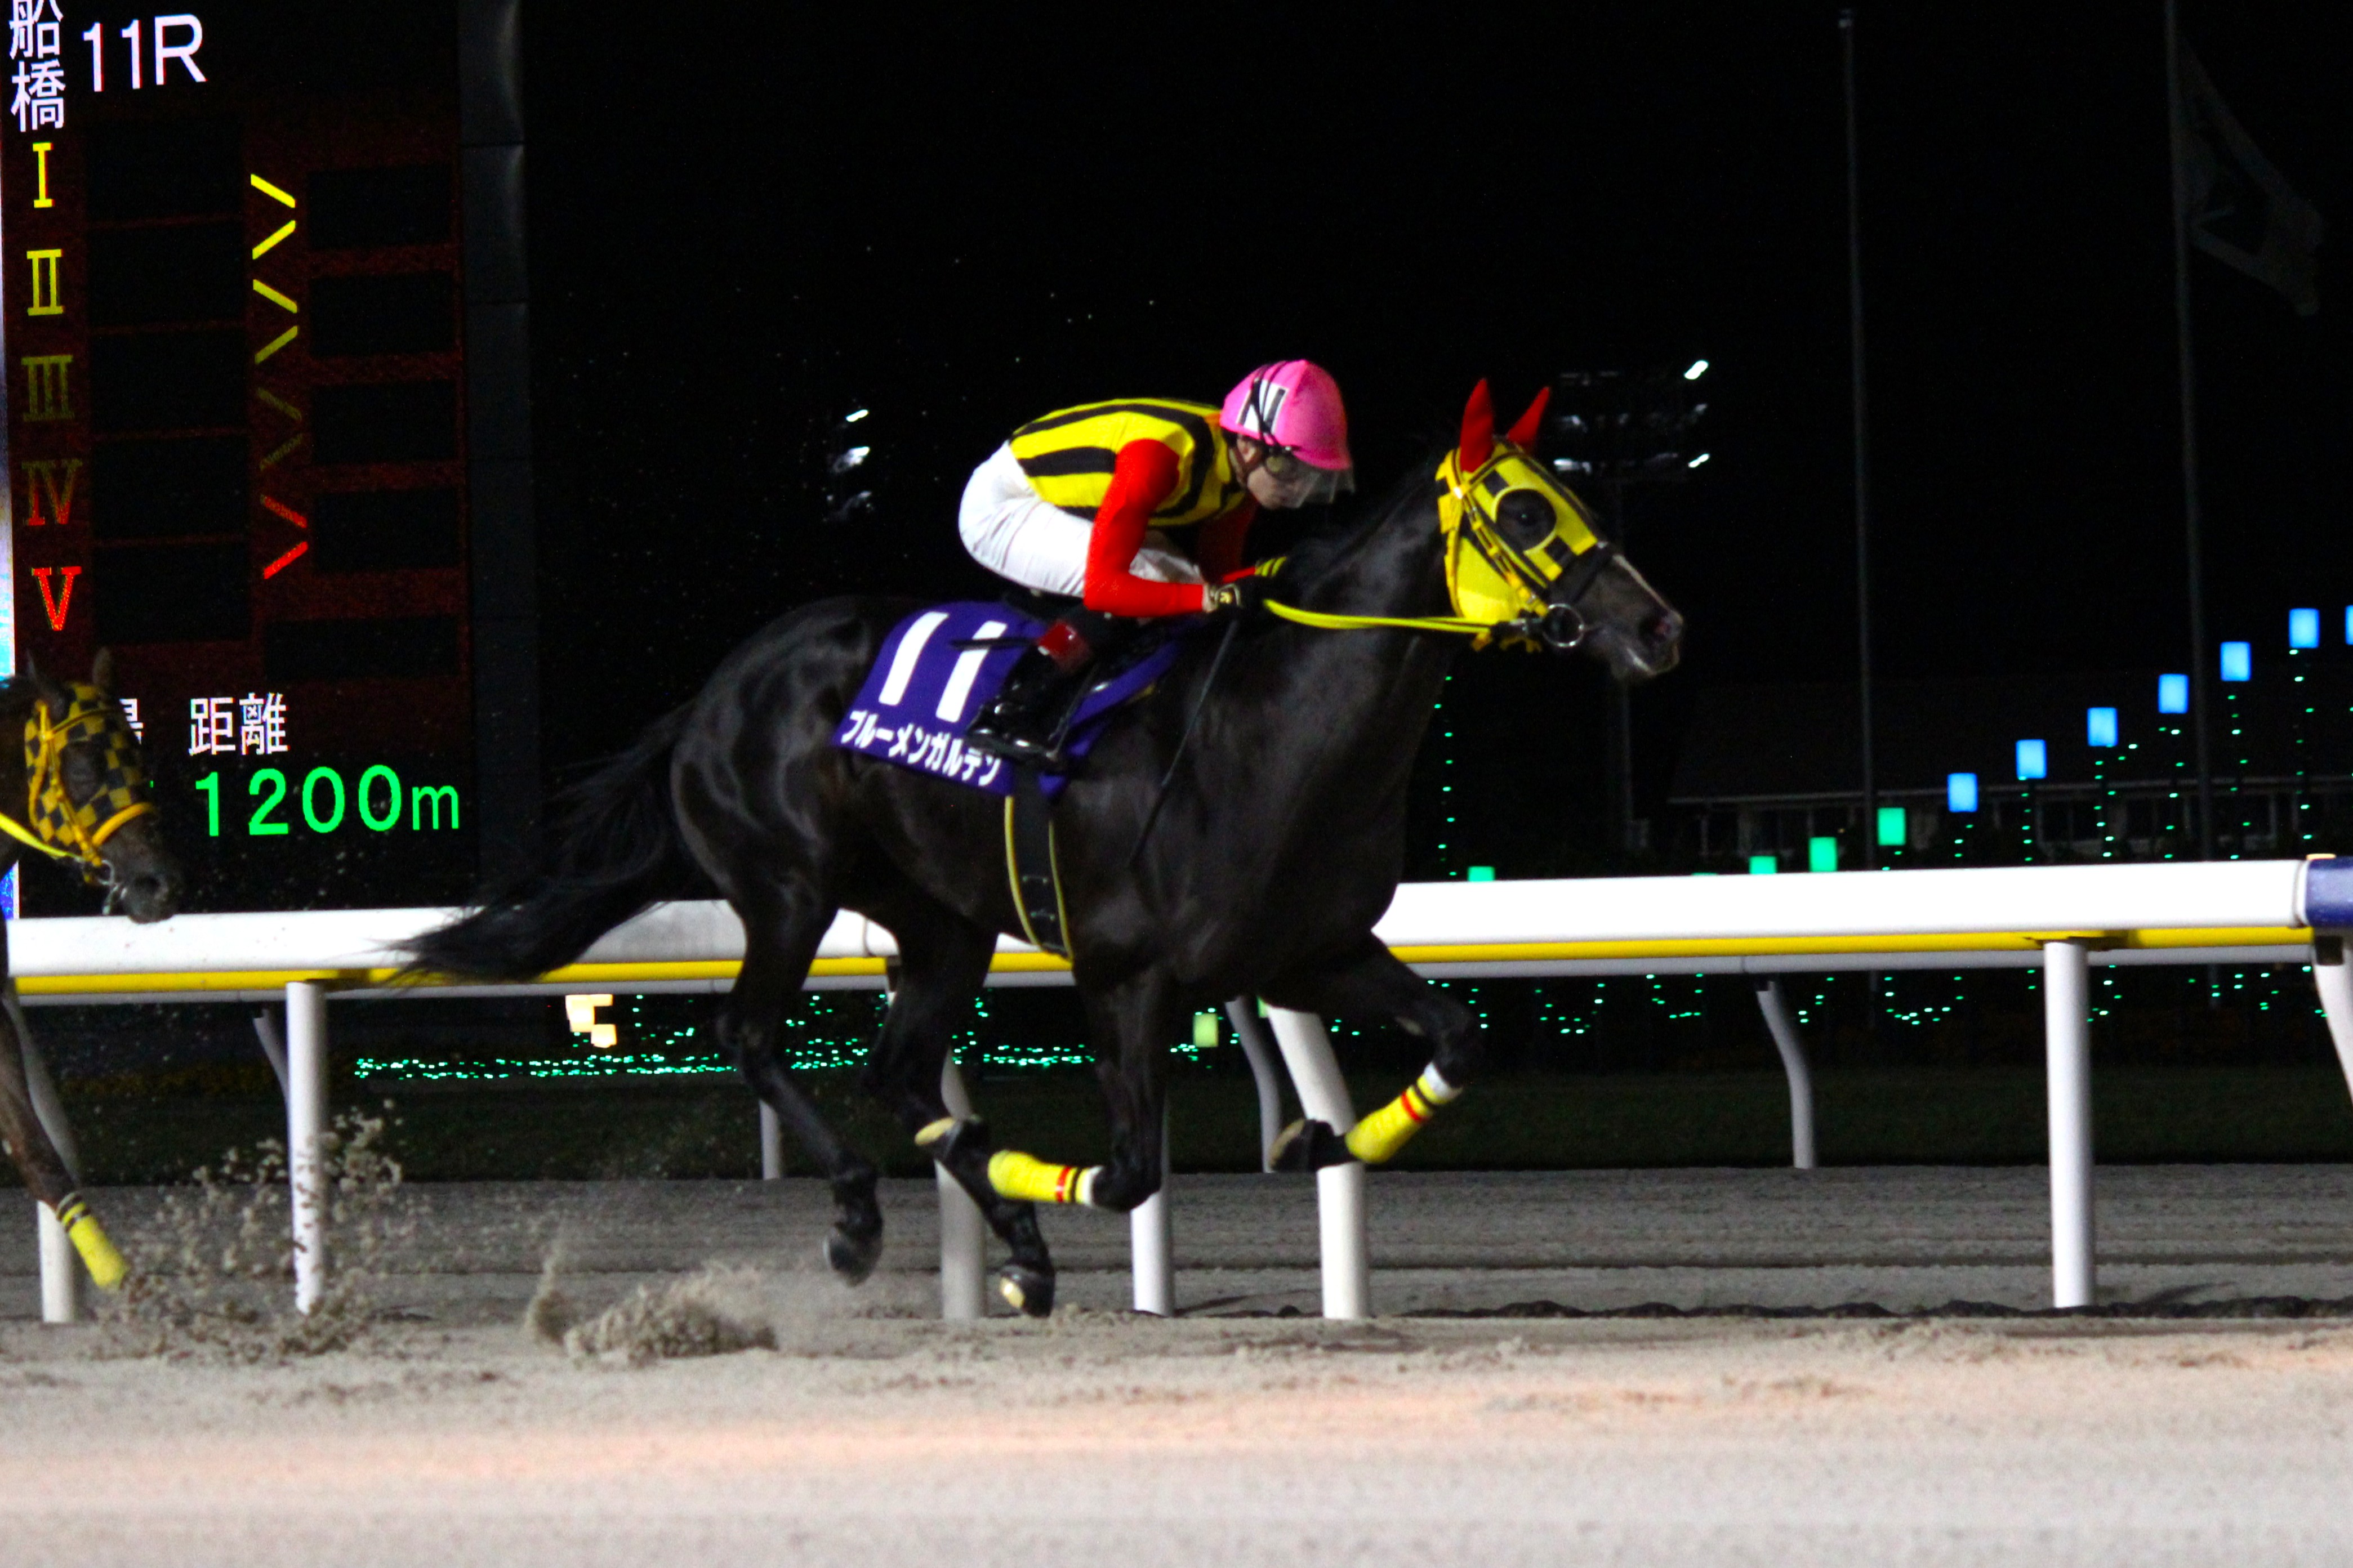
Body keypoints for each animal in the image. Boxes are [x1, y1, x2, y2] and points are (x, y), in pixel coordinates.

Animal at [412, 382, 1684, 1315]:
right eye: (1524, 514)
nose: (1659, 625)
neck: (1276, 728)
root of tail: (715, 692)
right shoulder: (1124, 972)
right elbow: (1127, 1171)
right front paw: (1039, 1202)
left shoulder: (1305, 952)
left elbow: (1457, 1040)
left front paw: (1321, 1135)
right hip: (787, 886)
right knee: (753, 1034)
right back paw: (864, 1216)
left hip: (940, 920)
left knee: (896, 1068)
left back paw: (996, 1222)